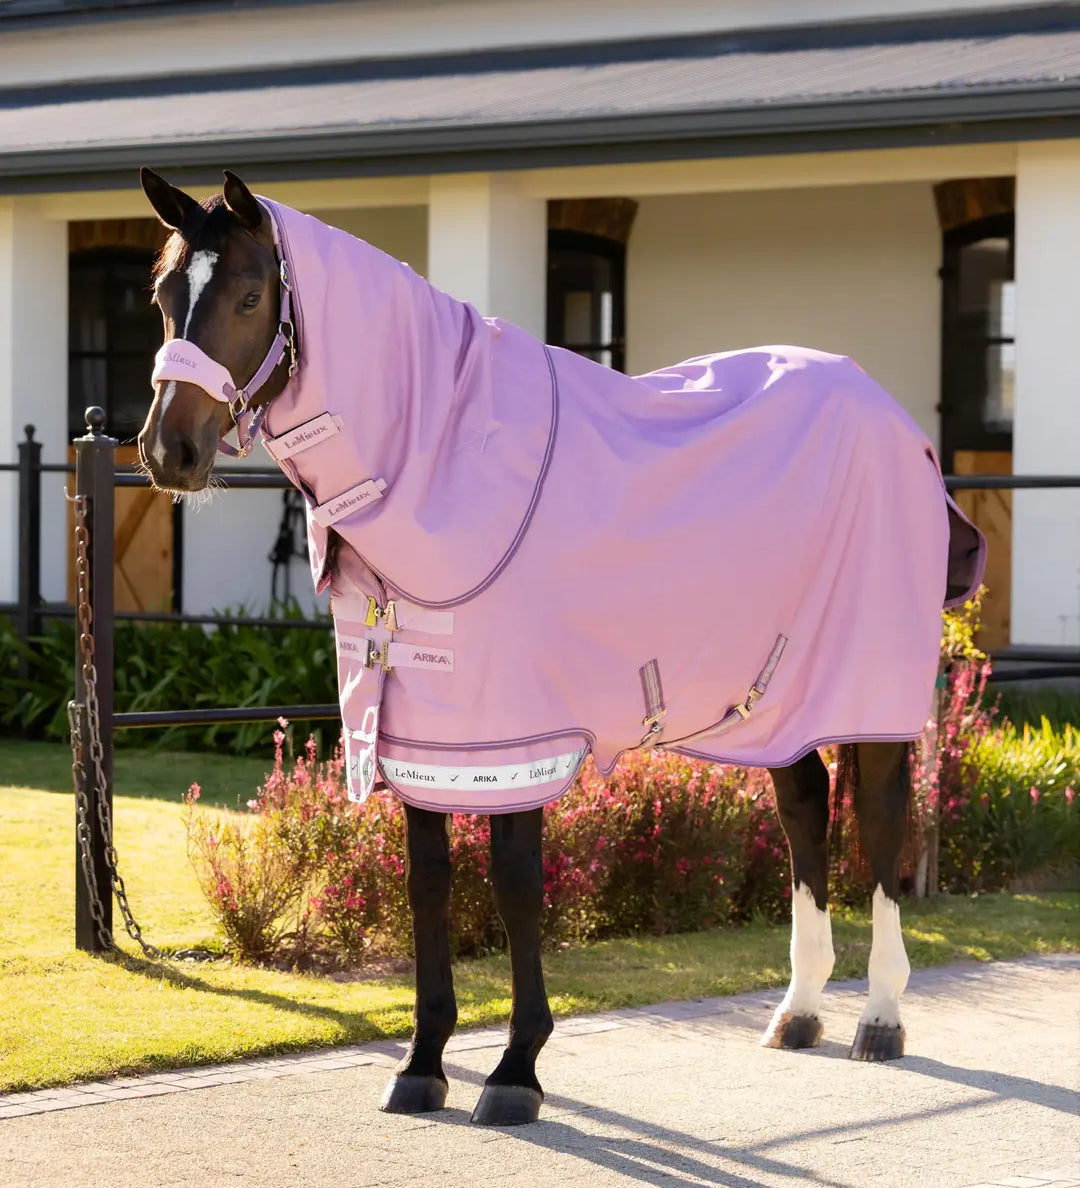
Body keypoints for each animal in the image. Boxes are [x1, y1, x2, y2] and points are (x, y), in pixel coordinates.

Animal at [135, 167, 984, 1126]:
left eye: (249, 295)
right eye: (164, 297)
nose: (169, 449)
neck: (450, 461)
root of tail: (899, 425)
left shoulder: (518, 734)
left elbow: (512, 884)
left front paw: (515, 1072)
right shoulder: (426, 738)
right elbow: (429, 883)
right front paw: (422, 1065)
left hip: (868, 694)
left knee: (882, 825)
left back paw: (880, 1017)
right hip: (781, 698)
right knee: (805, 812)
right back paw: (798, 1011)